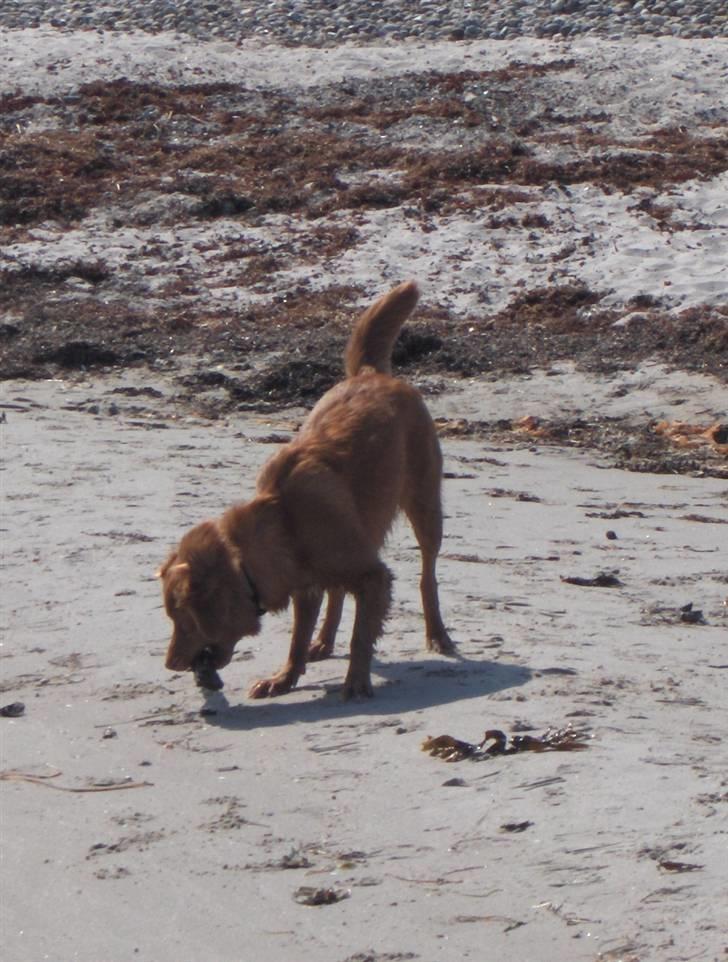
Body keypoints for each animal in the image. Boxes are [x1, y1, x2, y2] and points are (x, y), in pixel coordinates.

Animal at [159, 280, 456, 696]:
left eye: (184, 620)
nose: (170, 665)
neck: (285, 518)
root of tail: (371, 373)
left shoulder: (373, 577)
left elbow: (361, 635)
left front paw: (356, 681)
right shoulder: (304, 585)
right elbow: (298, 636)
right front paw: (285, 677)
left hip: (425, 505)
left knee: (427, 576)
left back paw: (438, 634)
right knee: (337, 593)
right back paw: (323, 642)